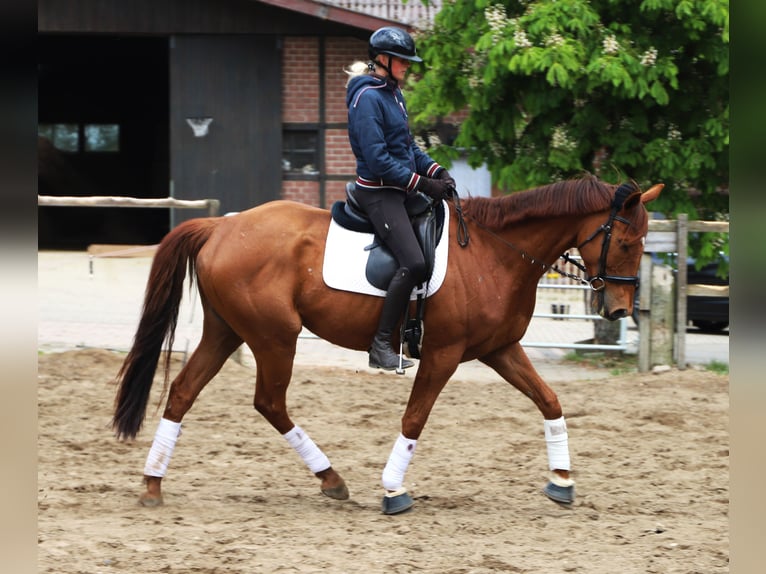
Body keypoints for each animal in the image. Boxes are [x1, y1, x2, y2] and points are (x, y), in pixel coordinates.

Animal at [113, 174, 662, 514]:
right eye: (627, 242)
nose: (619, 310)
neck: (494, 253)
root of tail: (221, 225)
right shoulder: (443, 354)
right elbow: (414, 418)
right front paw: (394, 490)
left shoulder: (499, 349)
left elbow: (549, 400)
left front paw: (562, 481)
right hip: (274, 337)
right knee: (268, 401)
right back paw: (331, 479)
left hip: (228, 331)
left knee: (183, 392)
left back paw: (153, 484)